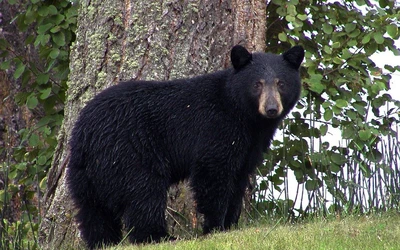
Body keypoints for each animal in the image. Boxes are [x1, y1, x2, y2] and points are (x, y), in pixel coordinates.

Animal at [66, 44, 304, 248]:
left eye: (281, 83)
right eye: (257, 84)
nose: (271, 108)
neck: (244, 116)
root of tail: (85, 133)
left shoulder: (250, 145)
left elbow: (238, 179)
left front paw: (230, 225)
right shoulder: (216, 129)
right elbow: (213, 174)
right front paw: (214, 227)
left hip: (85, 172)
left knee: (93, 211)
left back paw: (104, 242)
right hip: (129, 152)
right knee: (143, 194)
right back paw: (159, 236)